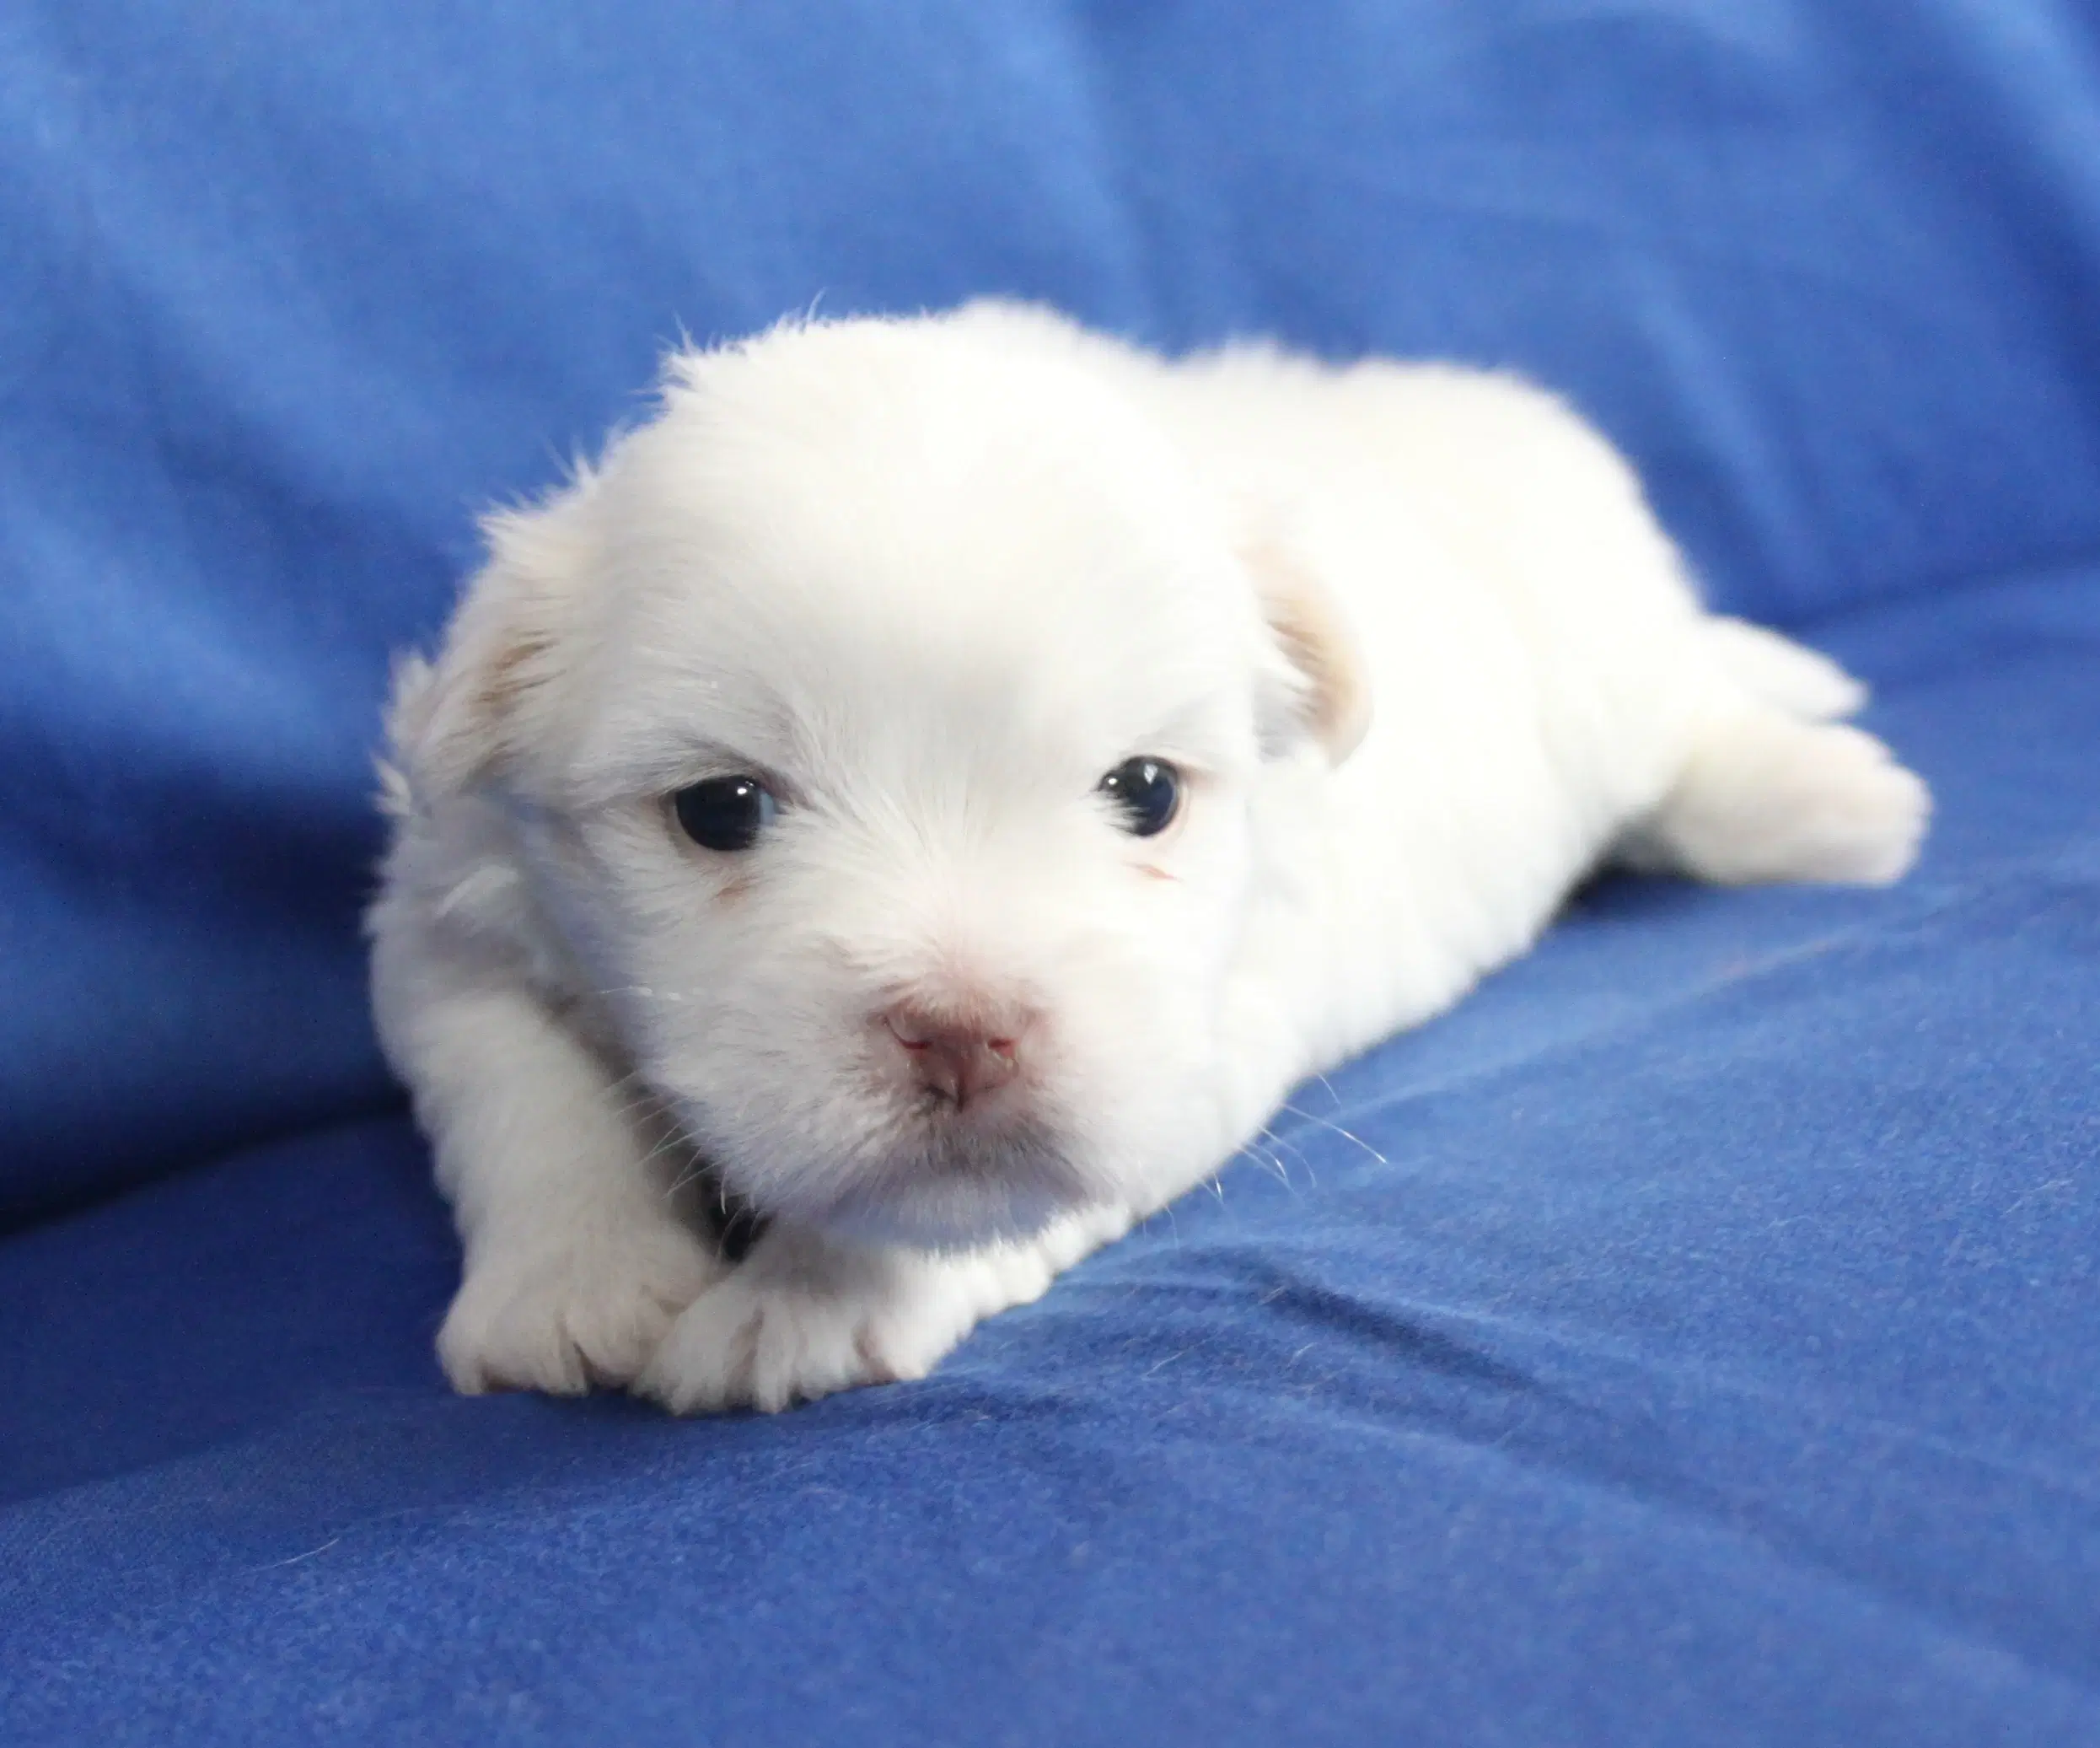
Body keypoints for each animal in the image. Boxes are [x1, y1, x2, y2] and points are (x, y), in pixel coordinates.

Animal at [369, 304, 1923, 1403]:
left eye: (1144, 792)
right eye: (721, 809)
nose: (962, 1032)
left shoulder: (1202, 1026)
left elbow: (962, 1205)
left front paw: (807, 1299)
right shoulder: (450, 906)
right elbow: (518, 1091)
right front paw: (573, 1284)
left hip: (1610, 669)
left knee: (1689, 724)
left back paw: (1825, 796)